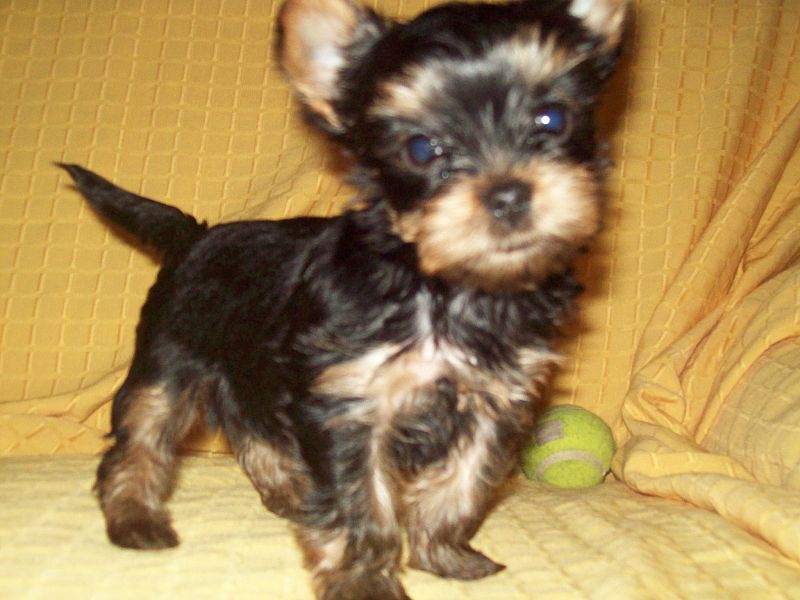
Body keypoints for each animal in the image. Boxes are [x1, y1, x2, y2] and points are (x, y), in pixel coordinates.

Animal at [59, 0, 628, 596]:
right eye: (420, 149)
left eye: (553, 118)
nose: (509, 194)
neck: (446, 287)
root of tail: (194, 236)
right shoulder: (347, 403)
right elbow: (361, 501)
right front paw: (365, 579)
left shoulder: (491, 401)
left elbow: (460, 484)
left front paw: (445, 555)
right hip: (169, 362)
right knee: (140, 440)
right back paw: (136, 518)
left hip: (247, 372)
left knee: (252, 433)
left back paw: (292, 497)